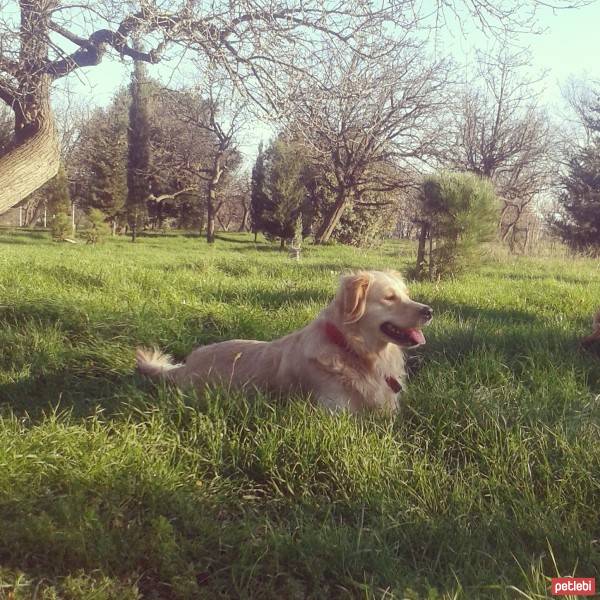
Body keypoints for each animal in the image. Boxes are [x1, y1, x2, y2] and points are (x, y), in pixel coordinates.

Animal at [138, 270, 434, 412]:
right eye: (389, 298)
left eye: (406, 295)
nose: (429, 311)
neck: (353, 351)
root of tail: (184, 366)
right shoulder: (334, 414)